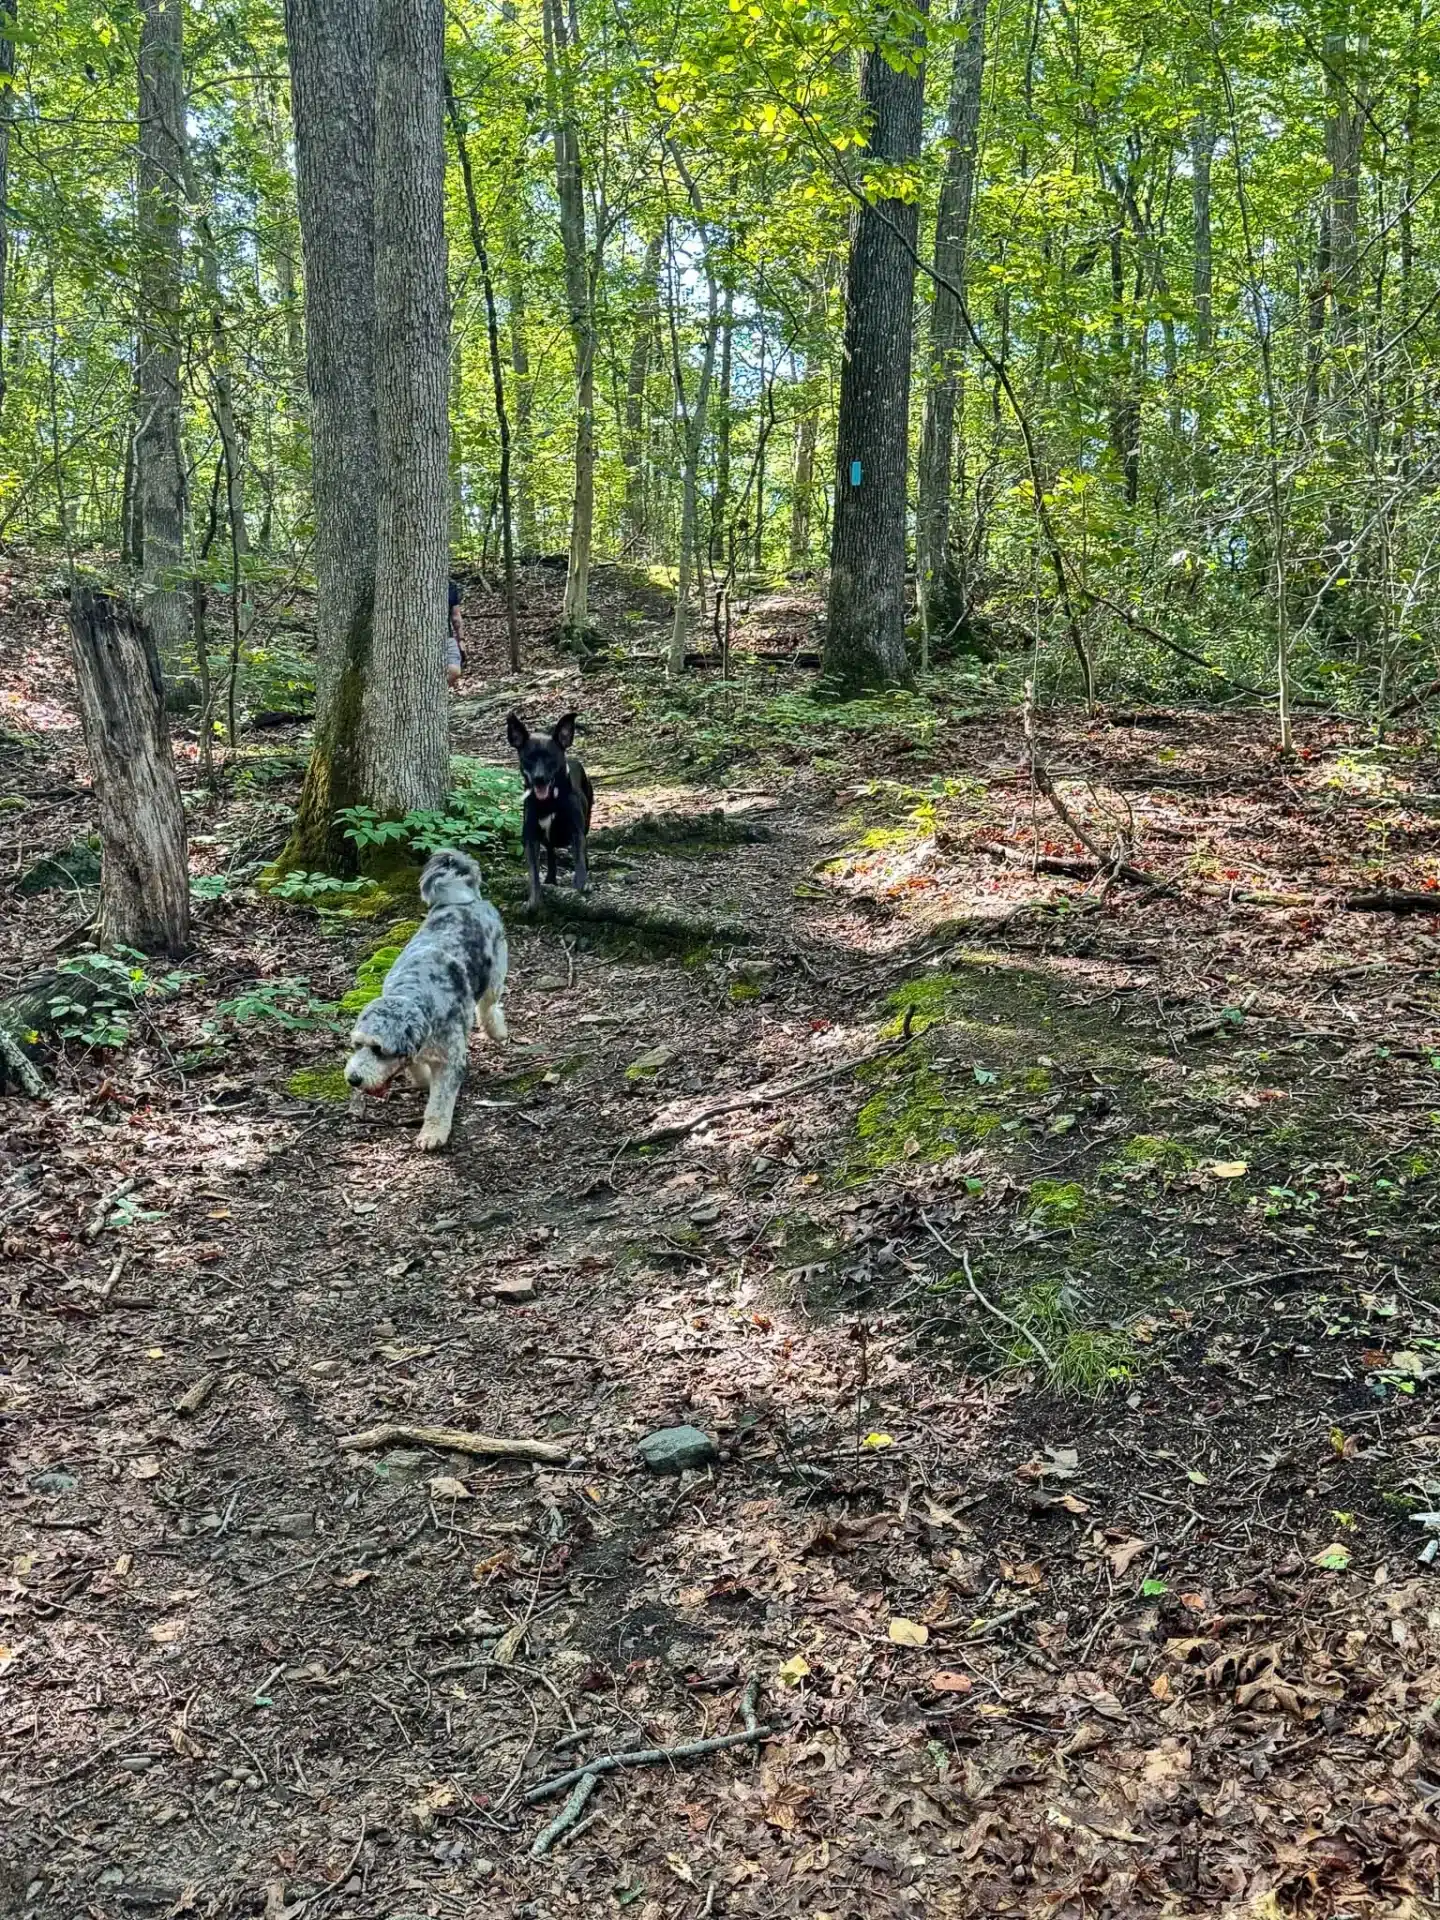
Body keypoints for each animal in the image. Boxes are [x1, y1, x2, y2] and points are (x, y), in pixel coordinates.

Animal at [343, 848, 506, 1144]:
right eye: (357, 1045)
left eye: (378, 1049)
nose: (354, 1079)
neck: (415, 995)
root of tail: (463, 897)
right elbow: (416, 1069)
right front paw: (422, 1078)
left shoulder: (451, 1061)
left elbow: (439, 1103)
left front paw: (432, 1132)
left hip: (495, 974)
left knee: (489, 1006)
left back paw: (496, 1030)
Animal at [506, 710, 599, 910]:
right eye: (529, 758)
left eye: (551, 757)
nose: (539, 778)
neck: (549, 801)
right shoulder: (530, 837)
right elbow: (533, 872)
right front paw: (534, 900)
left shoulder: (576, 831)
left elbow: (579, 858)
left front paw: (582, 884)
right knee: (550, 852)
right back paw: (550, 878)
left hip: (587, 819)